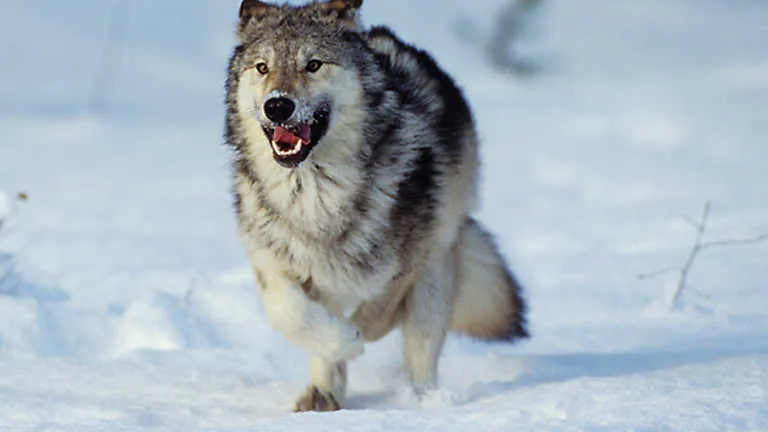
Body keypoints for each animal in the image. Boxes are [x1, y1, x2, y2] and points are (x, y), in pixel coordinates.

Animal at [226, 0, 528, 412]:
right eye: (262, 67)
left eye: (313, 64)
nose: (277, 105)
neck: (316, 194)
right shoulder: (272, 263)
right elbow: (290, 313)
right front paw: (341, 342)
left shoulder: (410, 263)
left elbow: (378, 312)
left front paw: (356, 334)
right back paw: (323, 395)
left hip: (436, 270)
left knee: (421, 349)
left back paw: (423, 402)